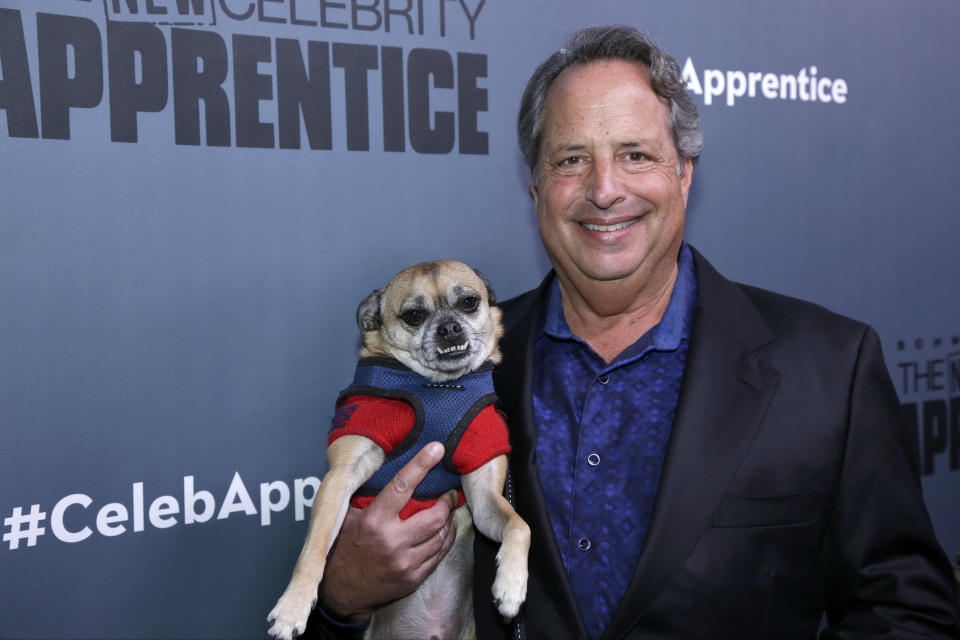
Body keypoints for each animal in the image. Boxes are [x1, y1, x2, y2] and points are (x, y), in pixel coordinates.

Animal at [266, 260, 528, 640]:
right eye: (414, 315)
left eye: (469, 303)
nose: (449, 327)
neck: (439, 387)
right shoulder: (341, 477)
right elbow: (314, 549)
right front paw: (293, 606)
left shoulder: (483, 497)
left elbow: (519, 525)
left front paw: (511, 586)